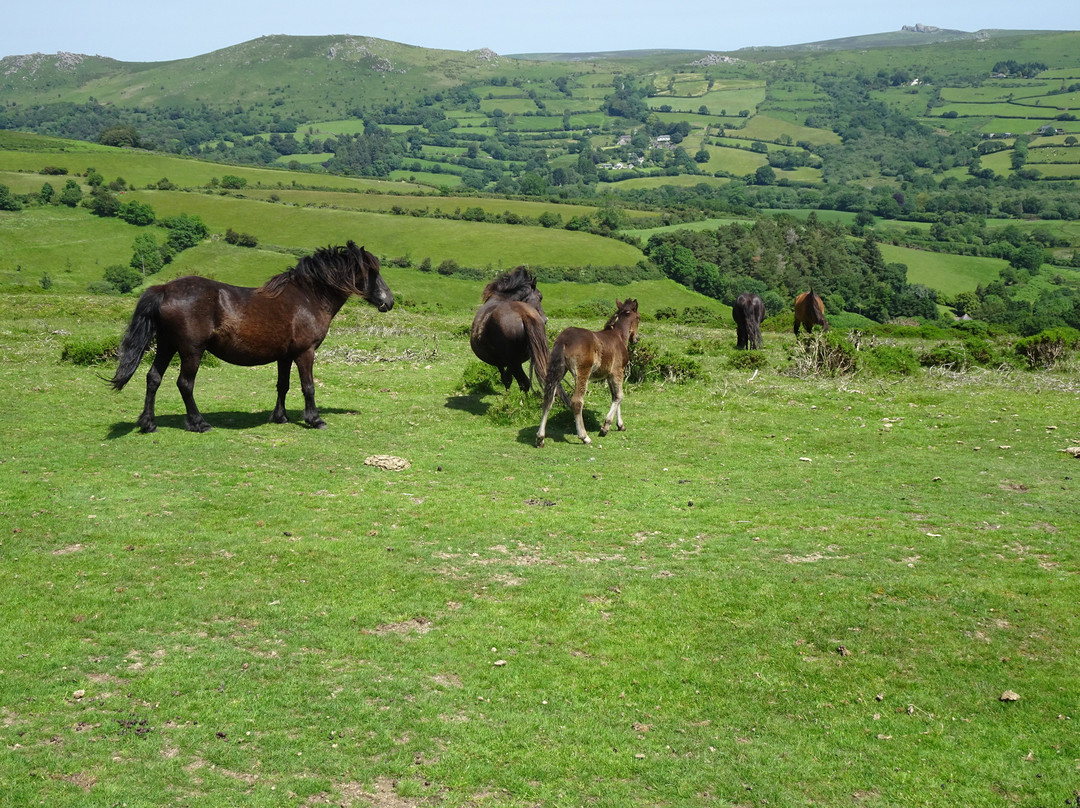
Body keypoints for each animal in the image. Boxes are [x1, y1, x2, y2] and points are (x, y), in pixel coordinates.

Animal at [108, 238, 393, 432]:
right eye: (371, 272)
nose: (388, 301)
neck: (309, 297)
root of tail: (164, 289)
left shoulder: (285, 356)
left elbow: (283, 385)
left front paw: (280, 417)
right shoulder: (305, 352)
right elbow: (308, 387)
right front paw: (315, 419)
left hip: (167, 346)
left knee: (153, 379)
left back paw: (148, 423)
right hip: (190, 350)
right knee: (185, 384)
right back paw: (199, 423)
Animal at [535, 300, 635, 447]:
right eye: (639, 318)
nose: (636, 339)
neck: (618, 336)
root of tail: (563, 340)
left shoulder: (608, 375)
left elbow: (614, 396)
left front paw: (620, 425)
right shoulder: (617, 371)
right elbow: (619, 396)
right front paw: (605, 428)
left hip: (558, 370)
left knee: (548, 398)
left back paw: (540, 438)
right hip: (582, 372)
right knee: (577, 401)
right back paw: (584, 437)